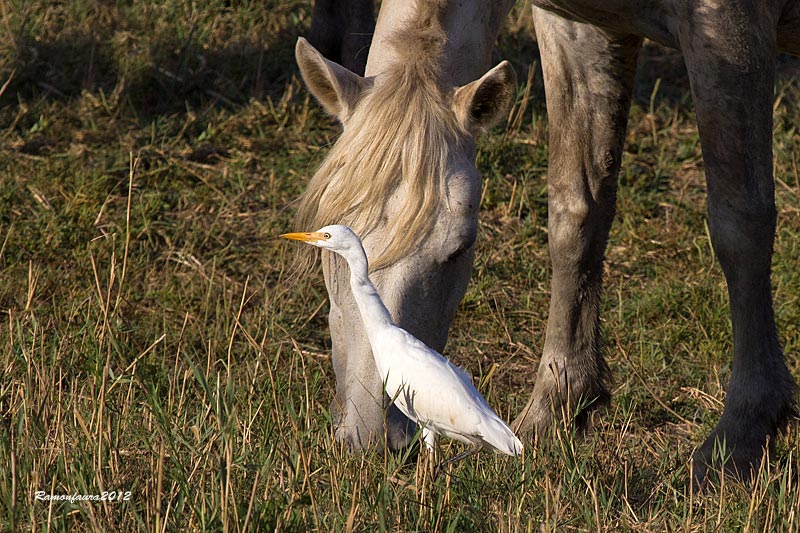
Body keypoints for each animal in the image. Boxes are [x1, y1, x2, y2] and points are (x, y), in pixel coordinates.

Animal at [296, 0, 796, 482]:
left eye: (459, 249)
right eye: (327, 245)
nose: (372, 436)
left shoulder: (730, 30)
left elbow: (740, 225)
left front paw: (738, 439)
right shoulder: (577, 29)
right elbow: (577, 214)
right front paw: (552, 409)